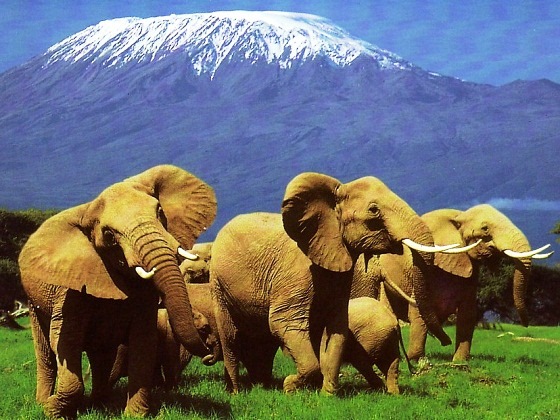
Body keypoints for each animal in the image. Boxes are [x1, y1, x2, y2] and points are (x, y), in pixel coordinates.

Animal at [16, 166, 218, 418]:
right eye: (109, 235)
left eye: (160, 212)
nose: (209, 354)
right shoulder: (70, 291)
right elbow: (65, 341)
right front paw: (53, 411)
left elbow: (143, 341)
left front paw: (134, 415)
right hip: (33, 304)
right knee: (45, 353)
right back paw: (44, 401)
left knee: (101, 355)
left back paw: (100, 404)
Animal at [208, 172, 458, 396]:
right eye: (373, 210)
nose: (446, 341)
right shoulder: (294, 273)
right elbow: (283, 322)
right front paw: (290, 387)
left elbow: (336, 327)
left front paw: (327, 394)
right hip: (218, 284)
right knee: (230, 336)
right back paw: (237, 392)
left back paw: (263, 385)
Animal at [352, 203, 552, 360]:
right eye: (485, 228)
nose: (526, 323)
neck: (459, 216)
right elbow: (419, 309)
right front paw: (417, 359)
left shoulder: (471, 273)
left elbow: (468, 312)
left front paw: (459, 362)